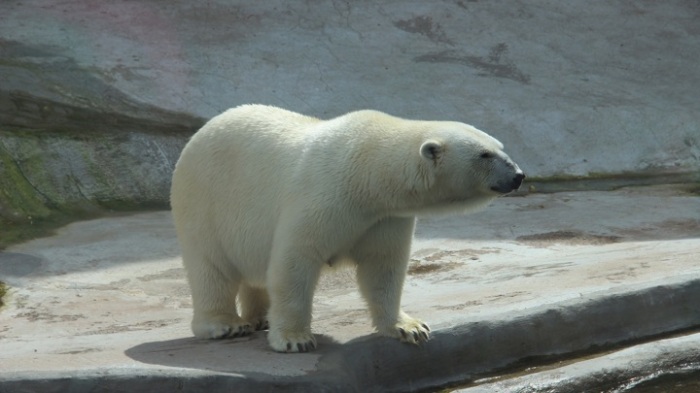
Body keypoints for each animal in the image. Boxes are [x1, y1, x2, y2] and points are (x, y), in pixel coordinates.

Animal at [170, 104, 524, 352]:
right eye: (485, 154)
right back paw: (226, 324)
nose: (518, 175)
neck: (367, 173)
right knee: (211, 267)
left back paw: (259, 317)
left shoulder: (384, 217)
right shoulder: (324, 196)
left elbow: (383, 267)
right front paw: (295, 339)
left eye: (500, 146)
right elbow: (295, 261)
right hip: (204, 201)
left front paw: (410, 328)